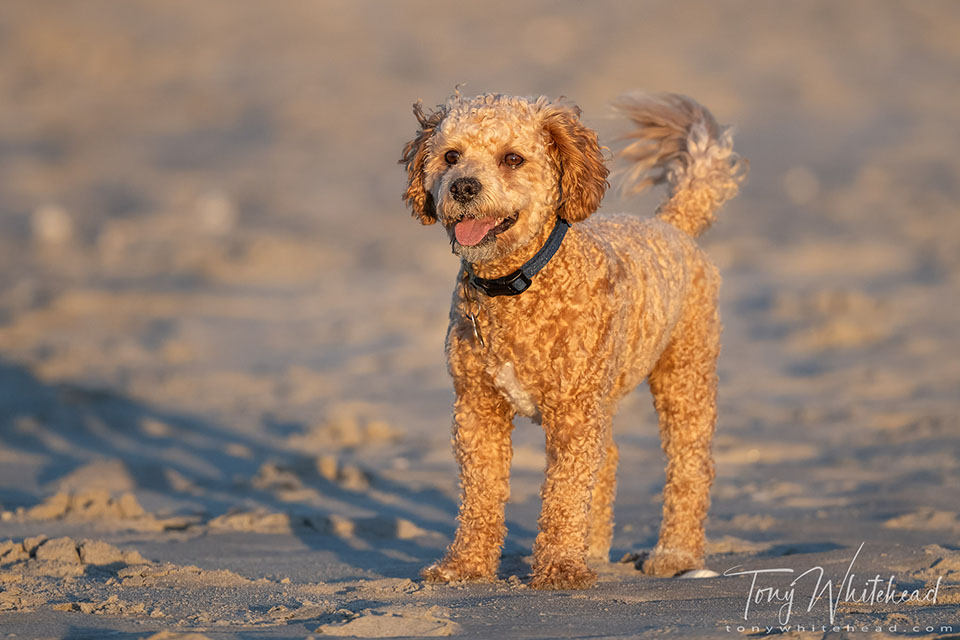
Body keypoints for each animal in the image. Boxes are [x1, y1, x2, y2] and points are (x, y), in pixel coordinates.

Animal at [402, 90, 748, 592]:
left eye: (512, 158)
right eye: (450, 156)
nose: (463, 187)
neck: (518, 286)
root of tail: (673, 225)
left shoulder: (573, 412)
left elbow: (565, 492)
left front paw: (561, 567)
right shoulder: (476, 408)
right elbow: (481, 493)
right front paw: (465, 565)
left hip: (685, 374)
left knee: (690, 465)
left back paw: (675, 553)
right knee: (611, 457)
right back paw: (596, 549)